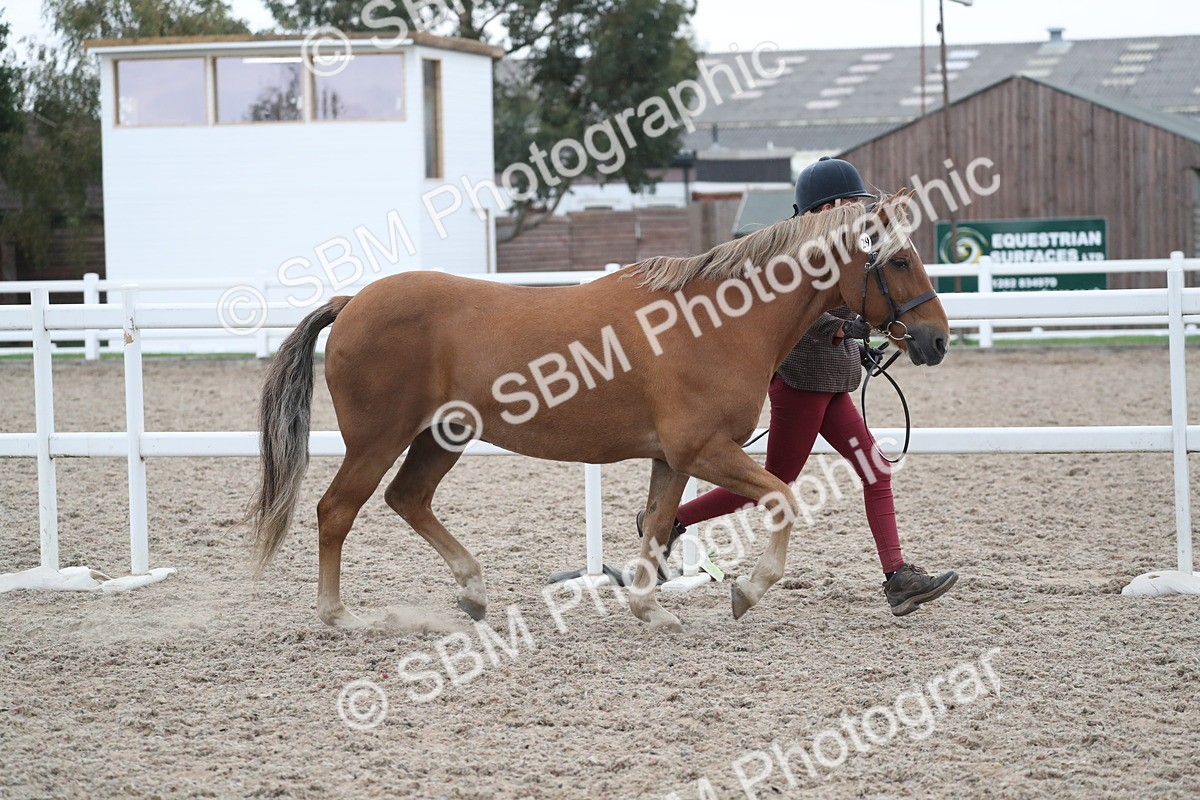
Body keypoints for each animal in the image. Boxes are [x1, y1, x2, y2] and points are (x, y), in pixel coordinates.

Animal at [246, 192, 949, 632]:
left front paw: (651, 608)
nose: (937, 340)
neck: (717, 322)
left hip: (443, 436)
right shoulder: (706, 450)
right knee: (337, 510)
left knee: (407, 499)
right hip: (379, 438)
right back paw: (340, 616)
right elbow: (780, 497)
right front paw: (746, 592)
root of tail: (352, 301)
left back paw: (472, 592)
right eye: (899, 260)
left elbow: (657, 522)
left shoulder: (675, 458)